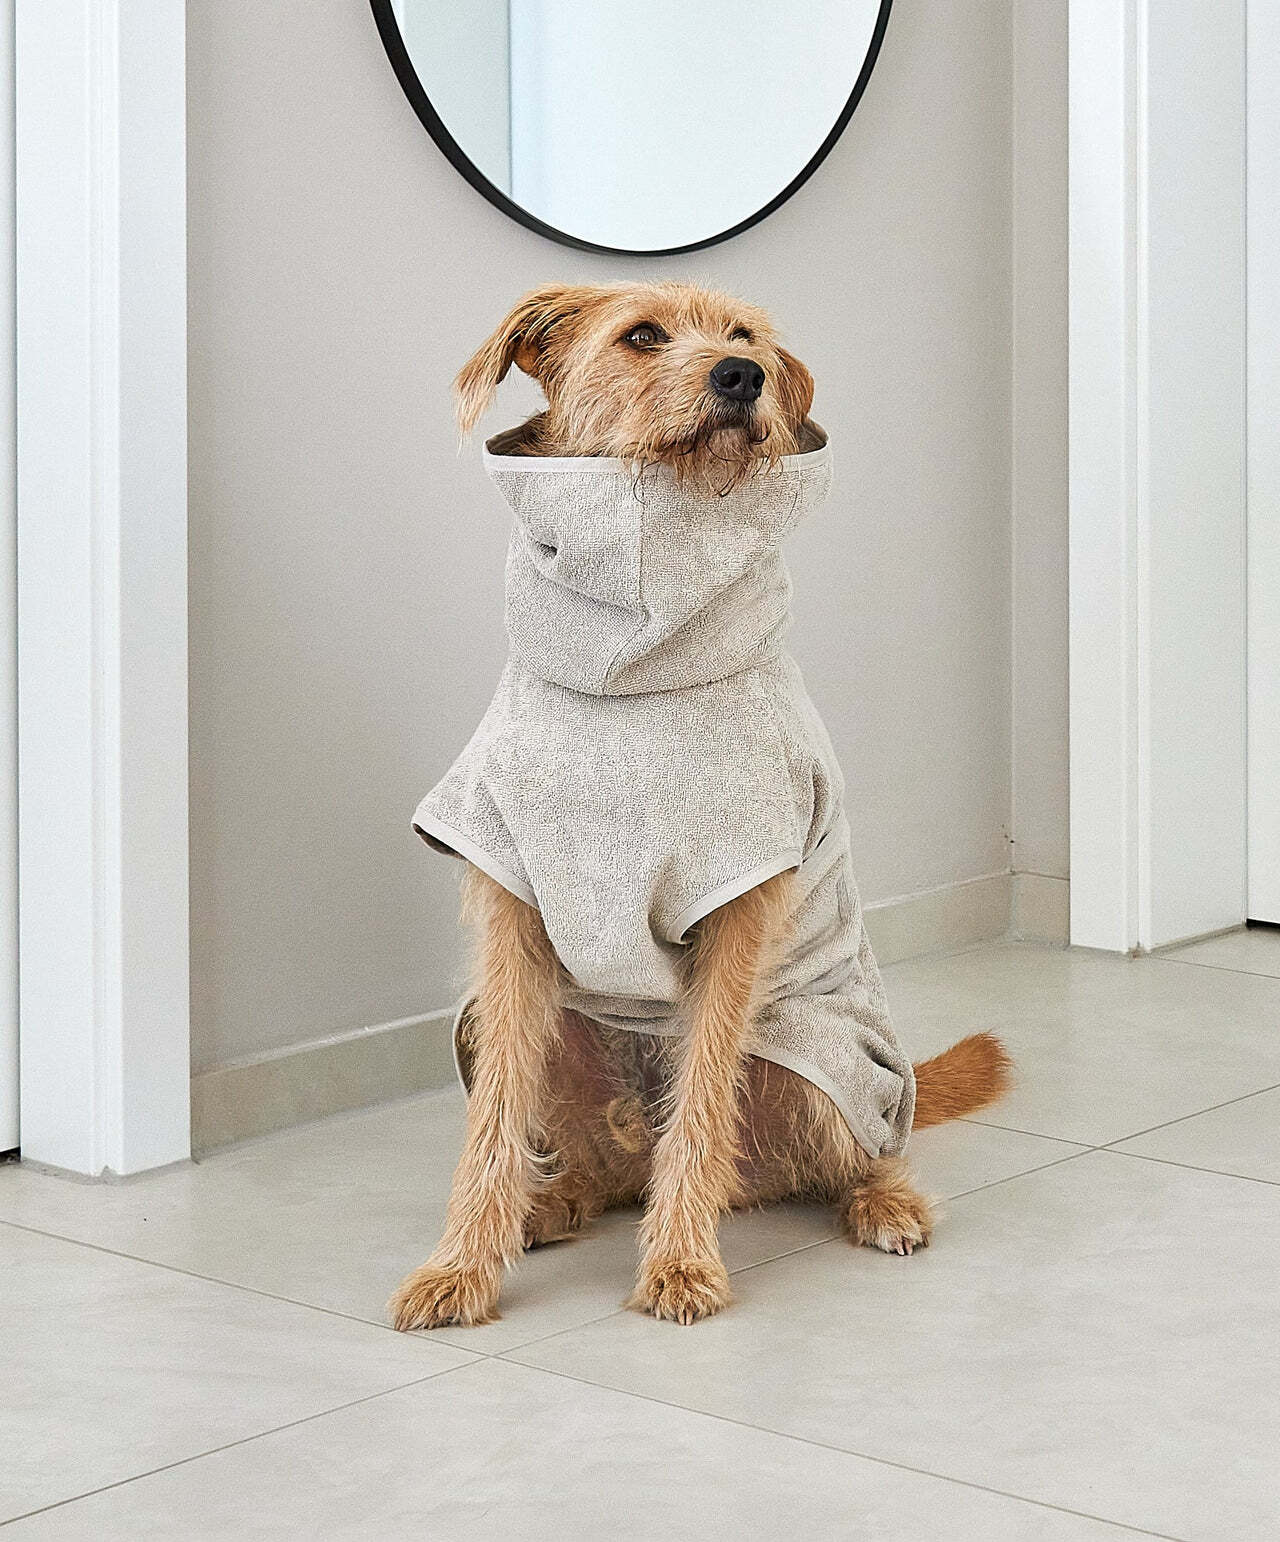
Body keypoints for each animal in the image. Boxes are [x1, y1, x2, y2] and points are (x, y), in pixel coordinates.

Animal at [391, 281, 1010, 1330]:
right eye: (642, 335)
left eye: (746, 335)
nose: (742, 376)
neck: (633, 665)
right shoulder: (512, 902)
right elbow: (494, 1120)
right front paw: (461, 1267)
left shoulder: (737, 905)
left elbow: (705, 1098)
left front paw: (680, 1264)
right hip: (520, 1031)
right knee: (596, 1164)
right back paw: (550, 1203)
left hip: (819, 1071)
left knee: (859, 1143)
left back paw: (883, 1203)